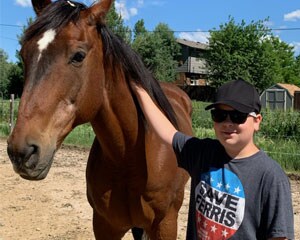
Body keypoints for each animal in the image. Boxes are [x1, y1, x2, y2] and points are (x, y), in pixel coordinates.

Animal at [7, 0, 195, 238]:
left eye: (78, 56)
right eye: (24, 54)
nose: (21, 152)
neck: (129, 158)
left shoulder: (166, 225)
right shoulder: (105, 225)